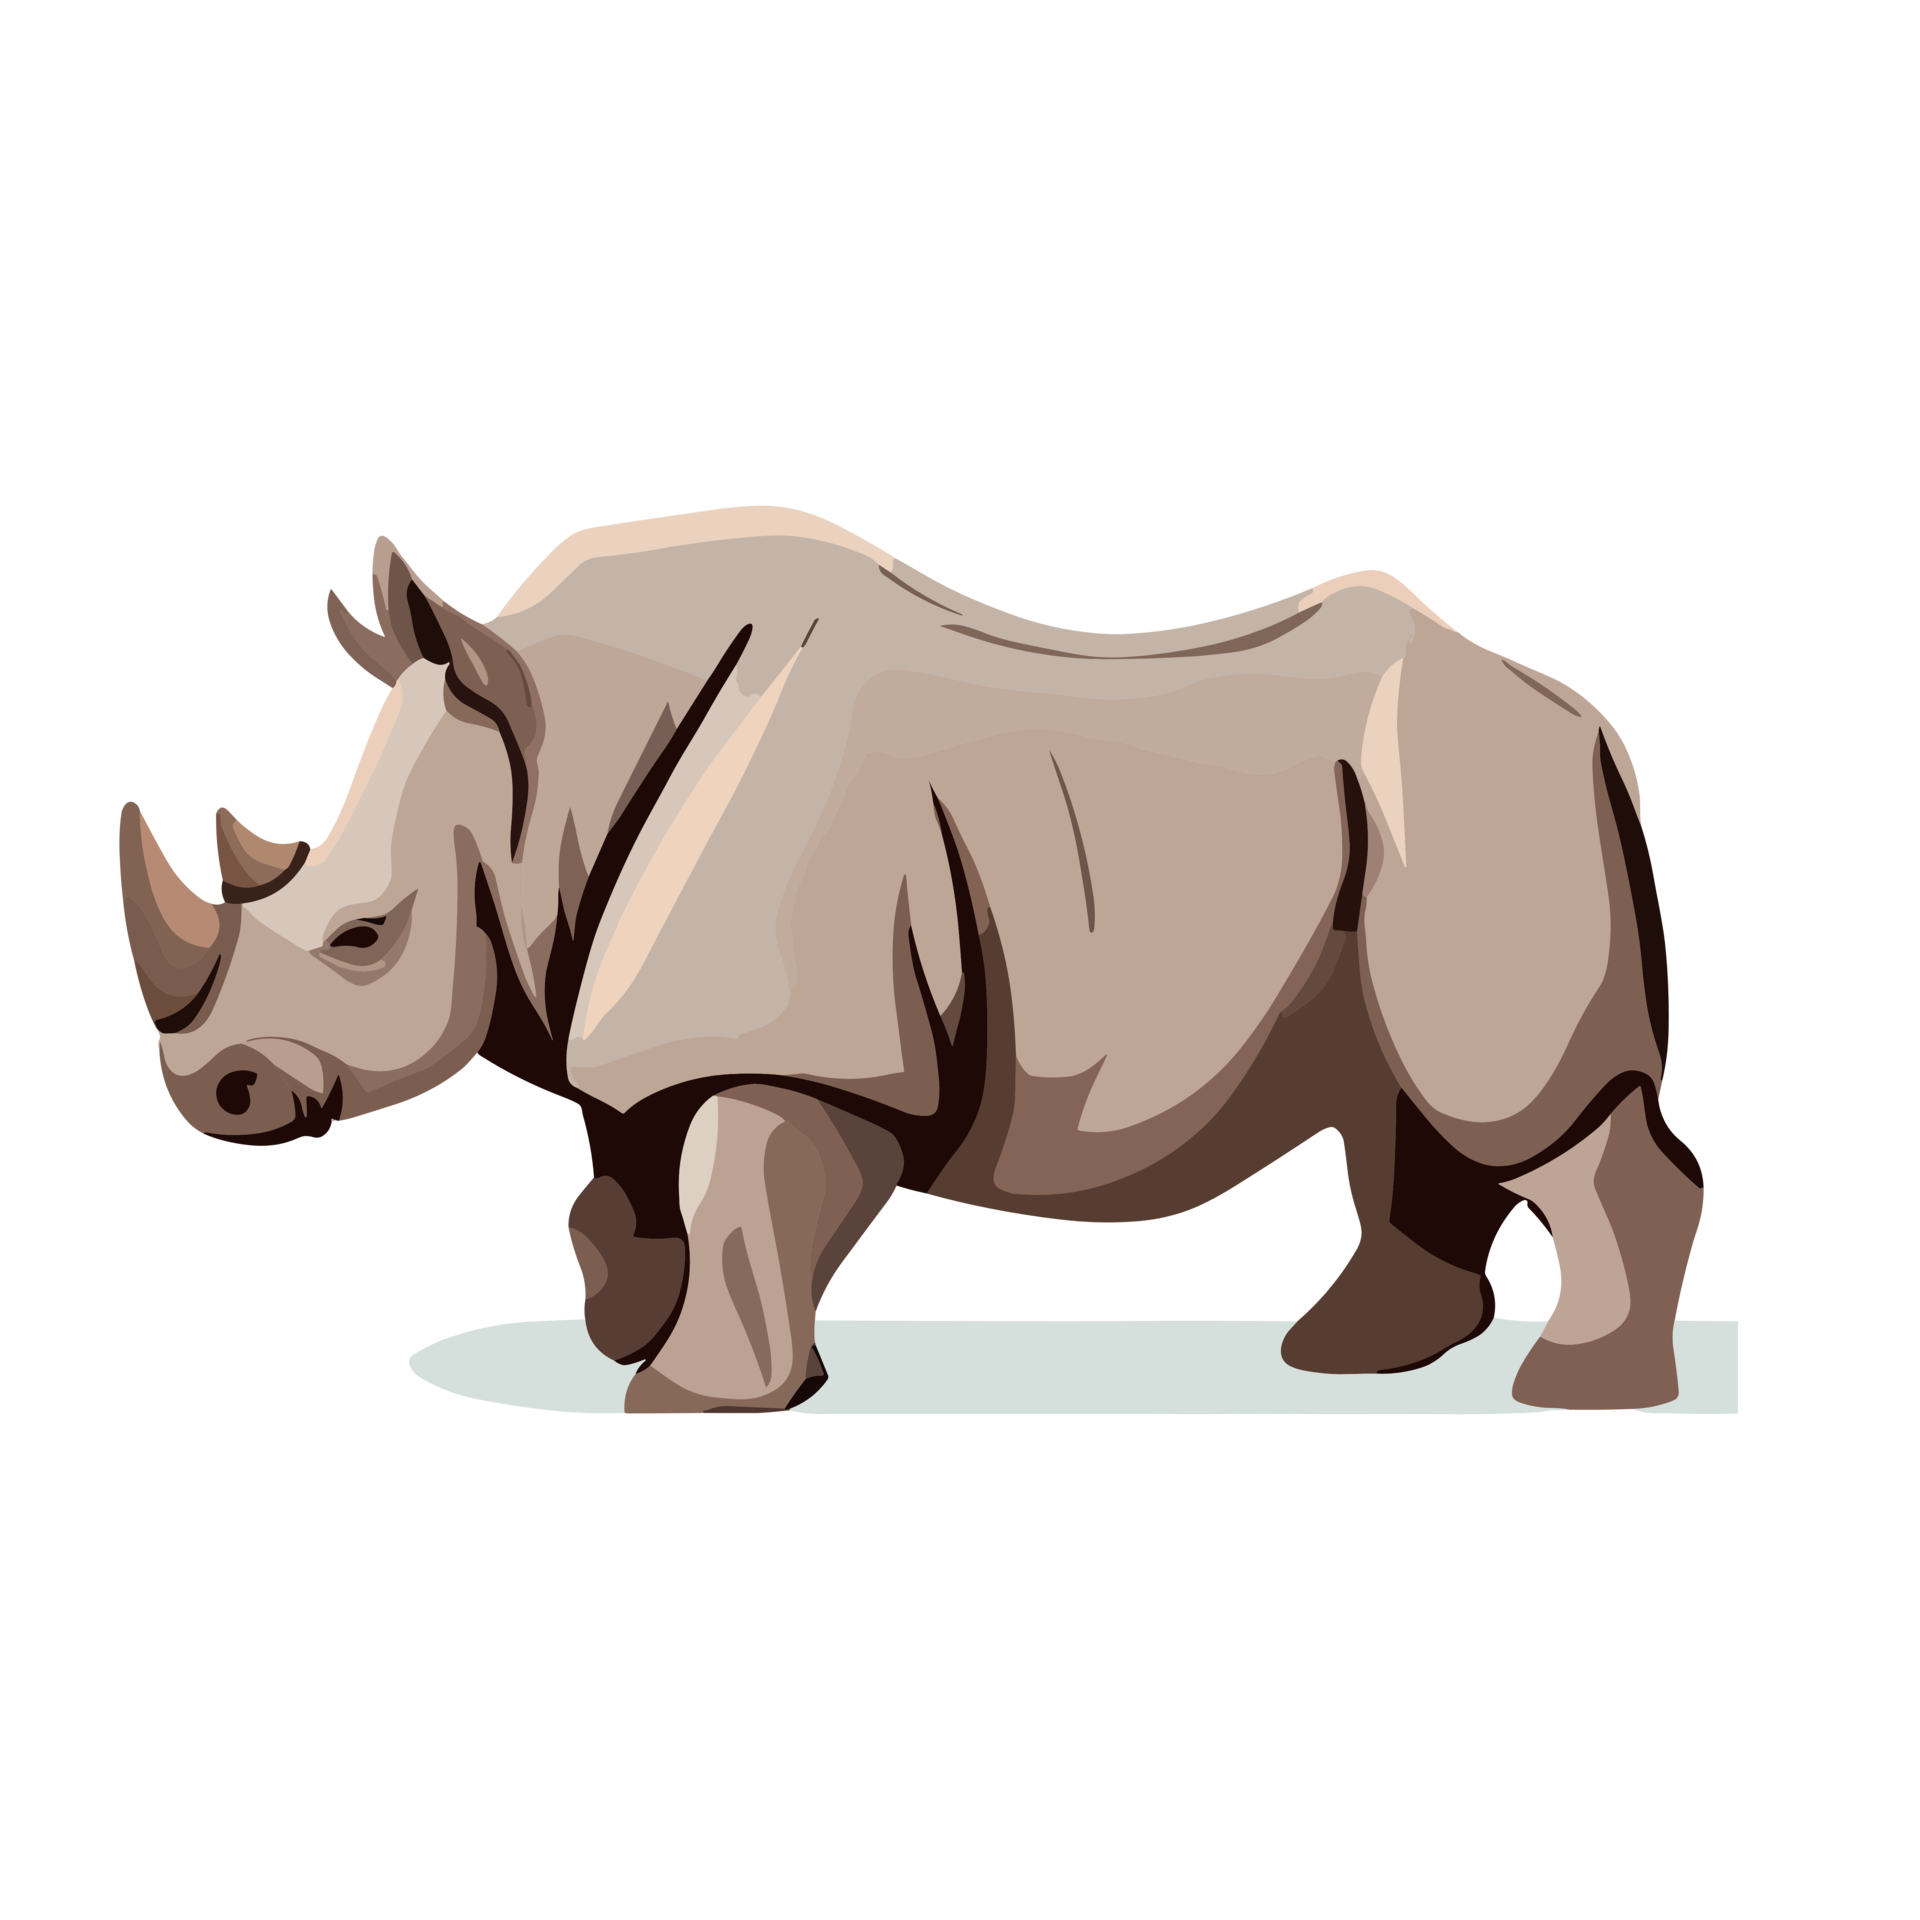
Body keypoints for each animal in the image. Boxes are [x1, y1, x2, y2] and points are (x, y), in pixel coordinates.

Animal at [118, 506, 1704, 1412]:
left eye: (365, 935)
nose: (219, 1092)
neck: (552, 768)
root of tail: (1587, 721)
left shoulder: (793, 1037)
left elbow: (737, 1195)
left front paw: (693, 1397)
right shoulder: (625, 1001)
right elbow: (626, 1184)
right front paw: (627, 1336)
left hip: (1474, 801)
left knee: (1510, 1098)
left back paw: (1578, 1392)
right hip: (1396, 825)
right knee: (1406, 1090)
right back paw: (1350, 1357)